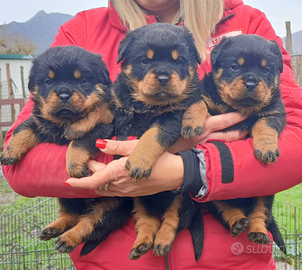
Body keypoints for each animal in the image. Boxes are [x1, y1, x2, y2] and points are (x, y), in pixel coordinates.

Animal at [0, 46, 133, 255]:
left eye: (82, 81)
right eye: (48, 81)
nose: (63, 95)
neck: (66, 121)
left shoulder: (104, 129)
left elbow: (78, 142)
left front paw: (74, 165)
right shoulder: (40, 121)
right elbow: (24, 128)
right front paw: (10, 153)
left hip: (110, 203)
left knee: (90, 222)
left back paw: (68, 238)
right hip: (65, 195)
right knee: (73, 214)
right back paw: (53, 228)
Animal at [111, 23, 205, 262]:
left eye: (179, 61)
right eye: (145, 60)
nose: (163, 77)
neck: (150, 105)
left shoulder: (173, 117)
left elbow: (152, 135)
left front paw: (138, 162)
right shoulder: (121, 110)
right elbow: (122, 133)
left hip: (183, 196)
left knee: (173, 219)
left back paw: (162, 242)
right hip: (139, 199)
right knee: (148, 219)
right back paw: (142, 244)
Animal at [185, 34, 286, 252]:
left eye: (266, 70)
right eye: (234, 67)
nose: (251, 82)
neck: (238, 107)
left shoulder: (275, 112)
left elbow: (264, 125)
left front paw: (266, 148)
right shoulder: (205, 95)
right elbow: (198, 103)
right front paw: (191, 122)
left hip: (265, 193)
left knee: (259, 213)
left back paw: (258, 233)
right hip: (213, 196)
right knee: (225, 208)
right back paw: (238, 222)